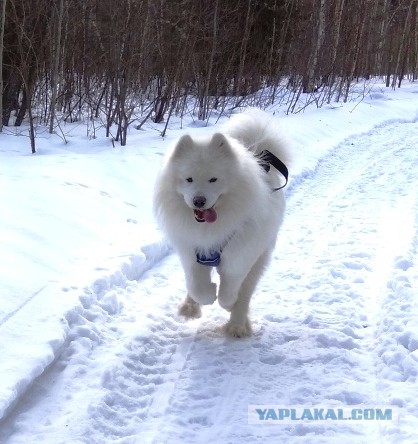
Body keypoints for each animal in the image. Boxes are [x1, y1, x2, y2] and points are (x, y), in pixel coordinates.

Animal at [153, 108, 290, 336]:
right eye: (189, 179)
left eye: (213, 179)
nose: (199, 201)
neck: (210, 228)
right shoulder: (192, 252)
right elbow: (197, 287)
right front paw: (207, 296)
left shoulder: (240, 254)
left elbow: (231, 288)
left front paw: (228, 303)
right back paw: (189, 307)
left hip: (260, 256)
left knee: (246, 292)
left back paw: (237, 325)